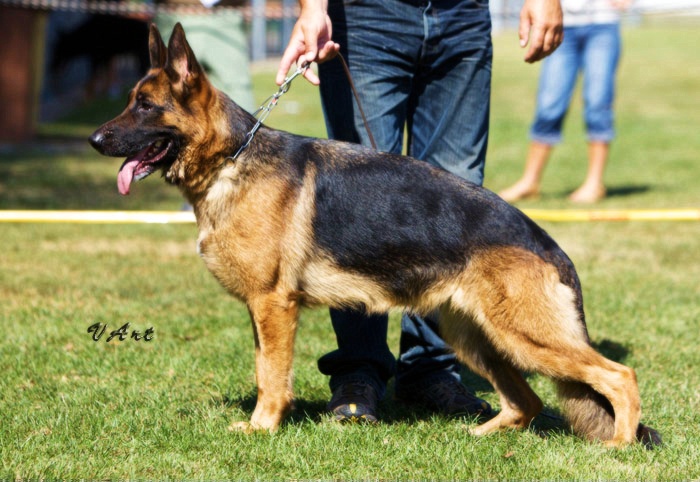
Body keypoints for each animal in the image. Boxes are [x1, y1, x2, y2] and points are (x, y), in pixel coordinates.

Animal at [89, 23, 660, 448]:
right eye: (130, 101)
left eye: (145, 106)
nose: (94, 139)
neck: (233, 156)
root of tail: (549, 245)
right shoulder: (260, 310)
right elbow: (262, 369)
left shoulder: (273, 306)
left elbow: (271, 376)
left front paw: (262, 428)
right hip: (480, 337)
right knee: (529, 401)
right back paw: (481, 434)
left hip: (528, 337)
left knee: (619, 376)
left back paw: (619, 447)